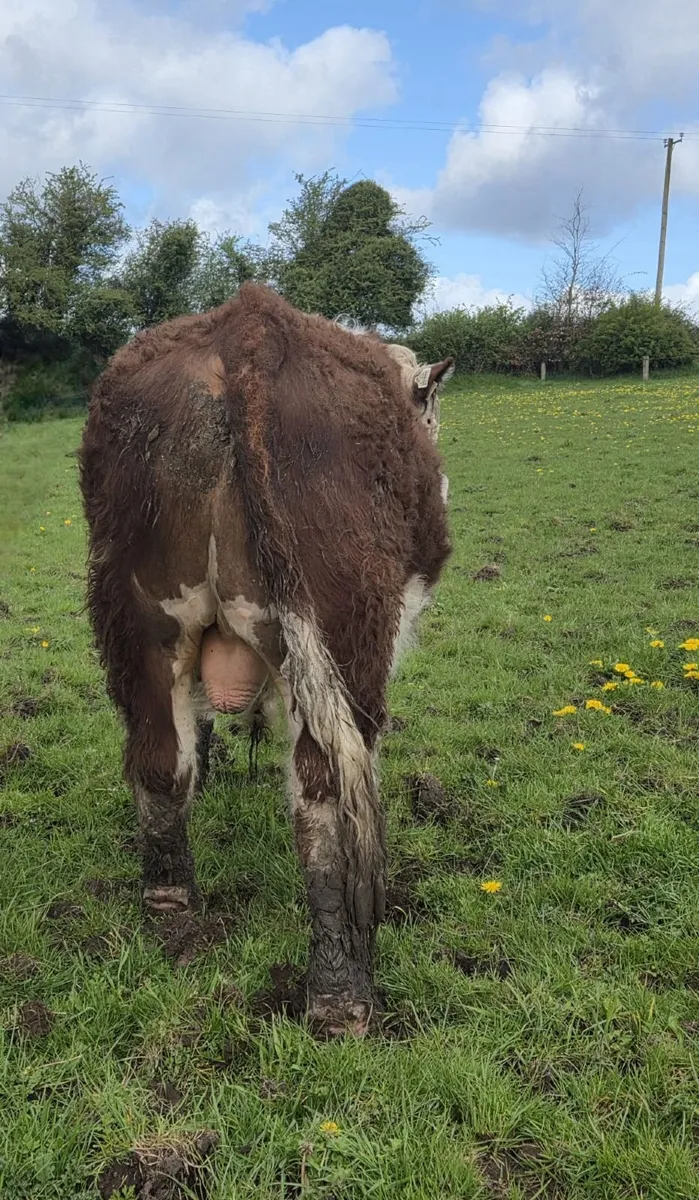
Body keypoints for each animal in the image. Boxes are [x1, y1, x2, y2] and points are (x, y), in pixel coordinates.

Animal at [79, 283, 453, 1036]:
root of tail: (247, 331)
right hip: (345, 640)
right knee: (324, 798)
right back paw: (340, 993)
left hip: (140, 625)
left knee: (160, 763)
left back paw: (170, 908)